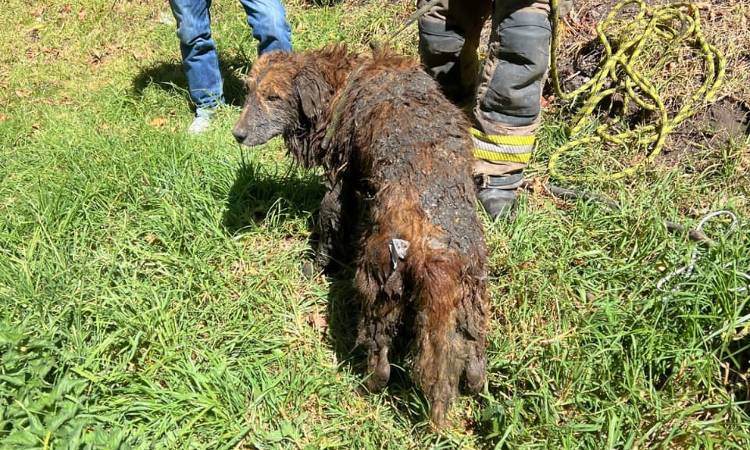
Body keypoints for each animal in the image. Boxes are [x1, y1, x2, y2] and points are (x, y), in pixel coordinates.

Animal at [235, 45, 494, 426]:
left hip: (378, 285)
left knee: (381, 363)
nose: (236, 134)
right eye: (248, 90)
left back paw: (364, 383)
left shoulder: (340, 177)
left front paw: (314, 266)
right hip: (470, 296)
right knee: (474, 361)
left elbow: (328, 222)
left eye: (273, 97)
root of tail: (436, 253)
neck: (343, 81)